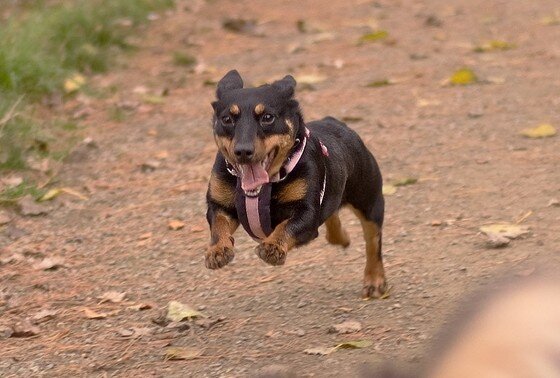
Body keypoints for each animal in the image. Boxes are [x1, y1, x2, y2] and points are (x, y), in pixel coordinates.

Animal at [207, 69, 390, 296]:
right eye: (226, 119)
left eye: (267, 117)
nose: (242, 151)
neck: (265, 185)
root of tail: (338, 123)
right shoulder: (219, 205)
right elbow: (218, 225)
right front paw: (217, 250)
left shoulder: (307, 212)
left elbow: (287, 226)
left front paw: (273, 247)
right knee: (333, 216)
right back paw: (342, 238)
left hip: (370, 201)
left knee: (373, 240)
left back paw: (374, 280)